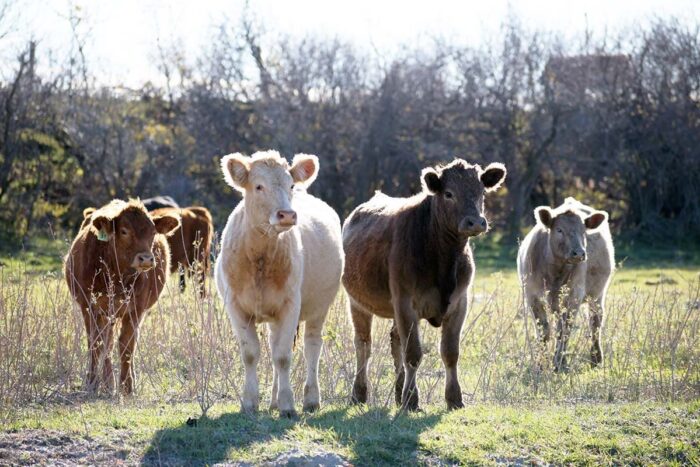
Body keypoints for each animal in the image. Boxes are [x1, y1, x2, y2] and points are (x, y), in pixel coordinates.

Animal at [64, 199, 180, 396]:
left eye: (153, 232)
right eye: (124, 231)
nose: (146, 259)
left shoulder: (136, 310)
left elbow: (127, 345)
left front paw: (127, 386)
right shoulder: (89, 306)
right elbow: (96, 343)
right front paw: (92, 383)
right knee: (106, 342)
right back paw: (106, 382)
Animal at [342, 159, 506, 412]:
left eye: (481, 192)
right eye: (449, 194)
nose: (475, 222)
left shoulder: (459, 303)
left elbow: (450, 352)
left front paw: (454, 398)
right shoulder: (405, 302)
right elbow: (413, 353)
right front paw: (412, 400)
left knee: (395, 340)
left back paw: (398, 392)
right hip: (357, 302)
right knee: (363, 345)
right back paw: (359, 394)